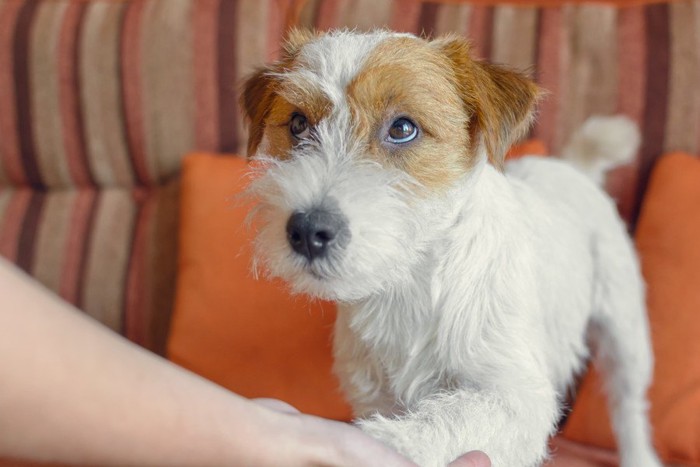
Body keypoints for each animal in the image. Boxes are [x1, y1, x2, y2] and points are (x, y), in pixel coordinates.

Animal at [242, 30, 660, 467]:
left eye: (402, 128)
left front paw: (385, 442)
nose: (307, 230)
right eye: (298, 123)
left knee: (628, 407)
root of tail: (573, 169)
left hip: (625, 334)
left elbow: (445, 421)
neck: (409, 286)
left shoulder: (516, 396)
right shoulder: (374, 394)